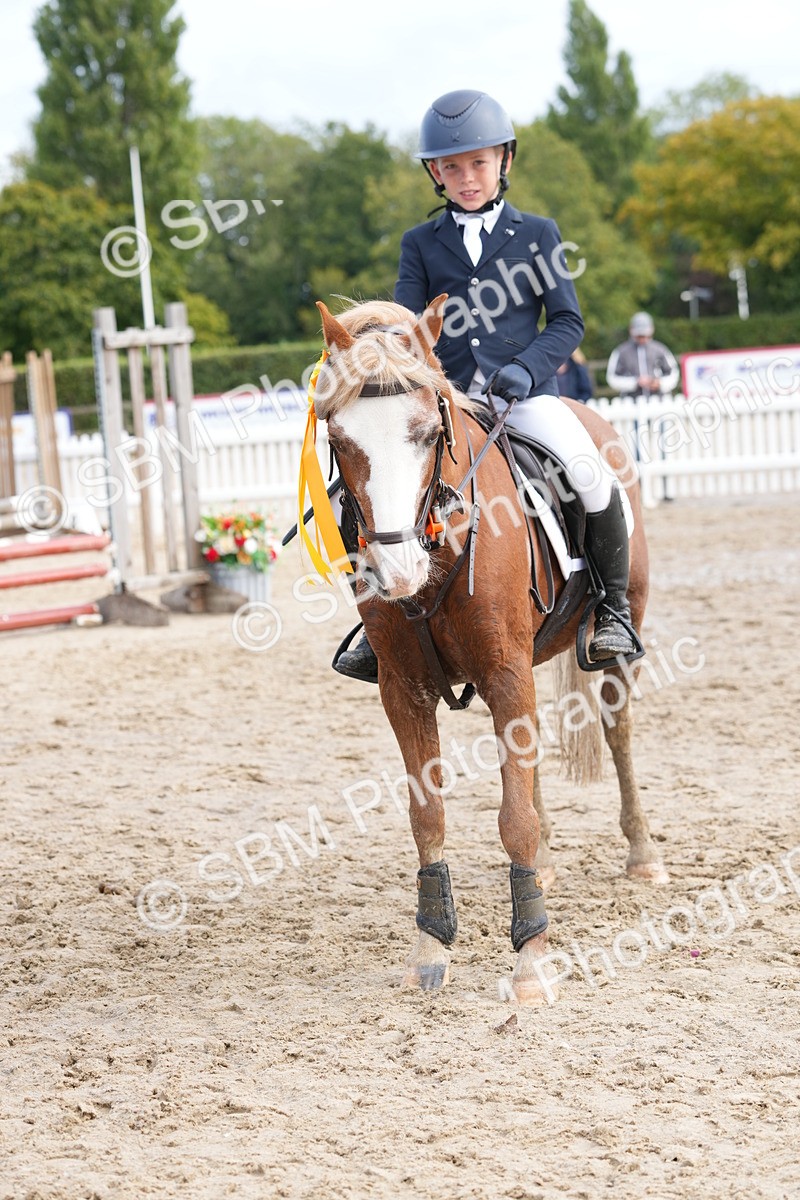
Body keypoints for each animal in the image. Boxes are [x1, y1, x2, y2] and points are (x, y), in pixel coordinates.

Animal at [311, 294, 669, 1003]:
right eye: (338, 441)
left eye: (429, 433)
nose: (396, 573)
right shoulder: (405, 688)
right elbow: (428, 813)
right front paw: (430, 946)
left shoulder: (504, 672)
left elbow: (512, 819)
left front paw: (530, 958)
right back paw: (551, 862)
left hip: (617, 641)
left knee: (617, 732)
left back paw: (641, 854)